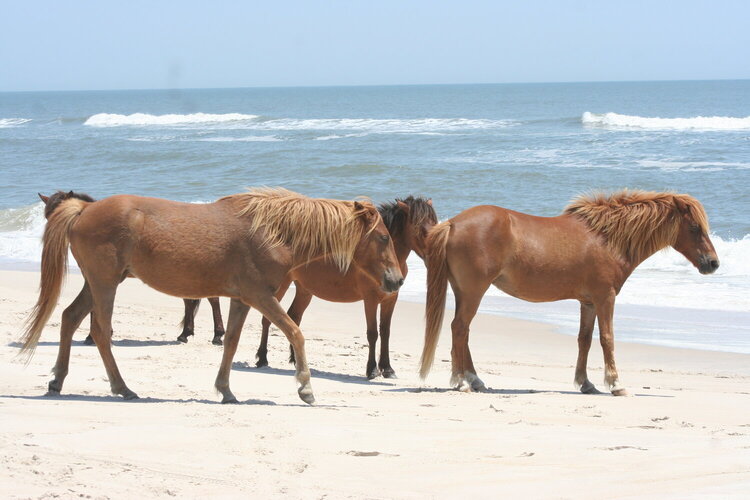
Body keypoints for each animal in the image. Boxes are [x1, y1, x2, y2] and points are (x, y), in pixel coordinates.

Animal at [37, 192, 226, 348]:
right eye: (47, 216)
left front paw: (95, 336)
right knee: (189, 301)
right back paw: (185, 333)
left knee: (212, 300)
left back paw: (217, 335)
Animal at [254, 195, 440, 378]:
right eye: (422, 230)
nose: (434, 258)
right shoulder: (370, 299)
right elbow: (373, 333)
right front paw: (372, 369)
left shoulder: (390, 299)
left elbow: (385, 332)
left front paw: (387, 369)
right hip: (280, 287)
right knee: (267, 319)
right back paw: (262, 358)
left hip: (305, 291)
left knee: (294, 317)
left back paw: (295, 359)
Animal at [420, 189, 720, 396]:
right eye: (695, 228)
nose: (713, 263)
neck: (607, 239)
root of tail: (452, 223)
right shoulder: (605, 297)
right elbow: (607, 338)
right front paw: (616, 384)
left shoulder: (588, 302)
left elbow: (584, 340)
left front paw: (586, 383)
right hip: (474, 291)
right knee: (459, 328)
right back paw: (462, 382)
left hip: (463, 292)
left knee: (463, 331)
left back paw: (475, 380)